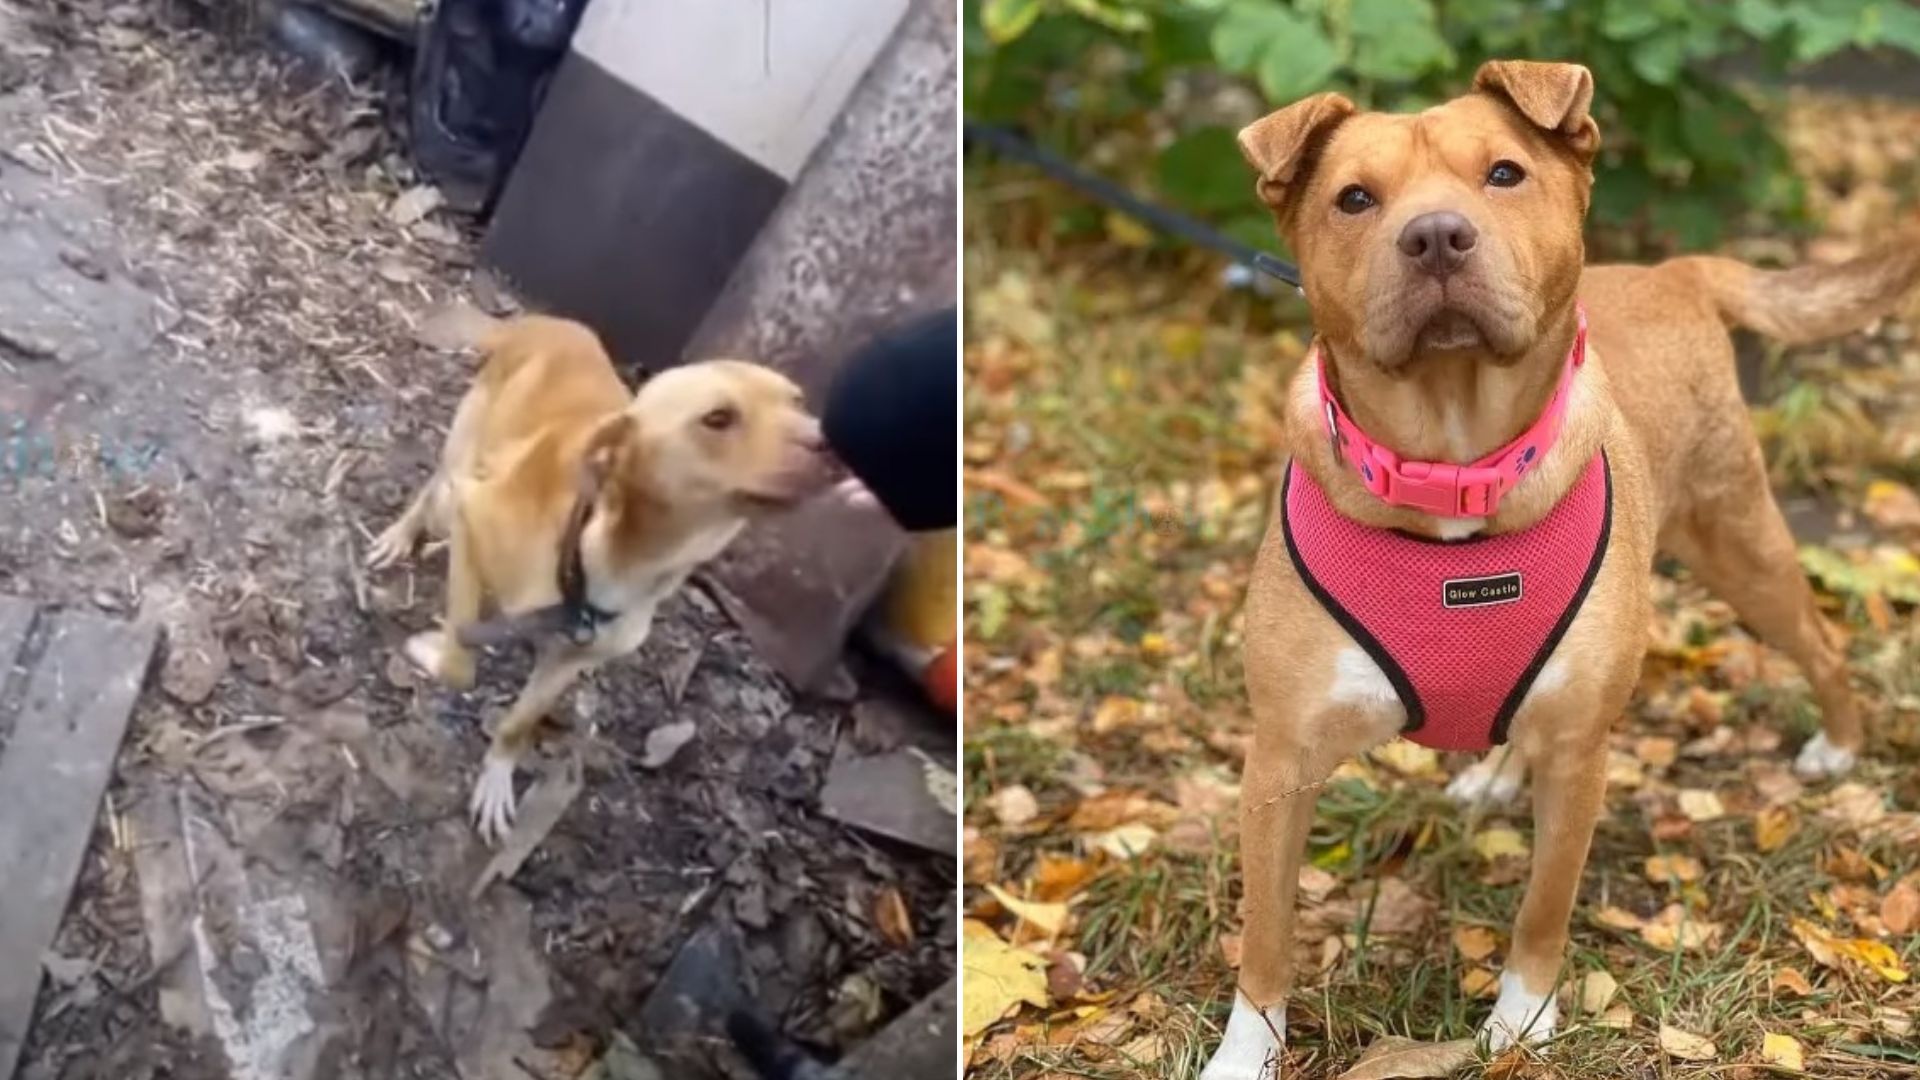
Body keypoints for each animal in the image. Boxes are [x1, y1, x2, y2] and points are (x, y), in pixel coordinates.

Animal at [366, 311, 833, 841]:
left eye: (799, 402)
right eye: (718, 418)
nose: (831, 443)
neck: (605, 549)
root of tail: (549, 321)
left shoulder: (568, 660)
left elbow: (519, 723)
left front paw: (497, 778)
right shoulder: (471, 516)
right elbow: (460, 666)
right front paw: (430, 651)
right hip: (458, 466)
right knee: (431, 492)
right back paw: (402, 535)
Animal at [1198, 62, 1920, 1068]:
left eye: (1504, 173)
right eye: (1354, 198)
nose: (1435, 236)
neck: (1454, 470)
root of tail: (1673, 271)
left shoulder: (1583, 752)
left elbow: (1544, 907)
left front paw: (1522, 1022)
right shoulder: (1280, 757)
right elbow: (1265, 934)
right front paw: (1245, 1055)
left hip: (1740, 543)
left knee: (1818, 641)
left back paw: (1840, 744)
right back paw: (1500, 772)